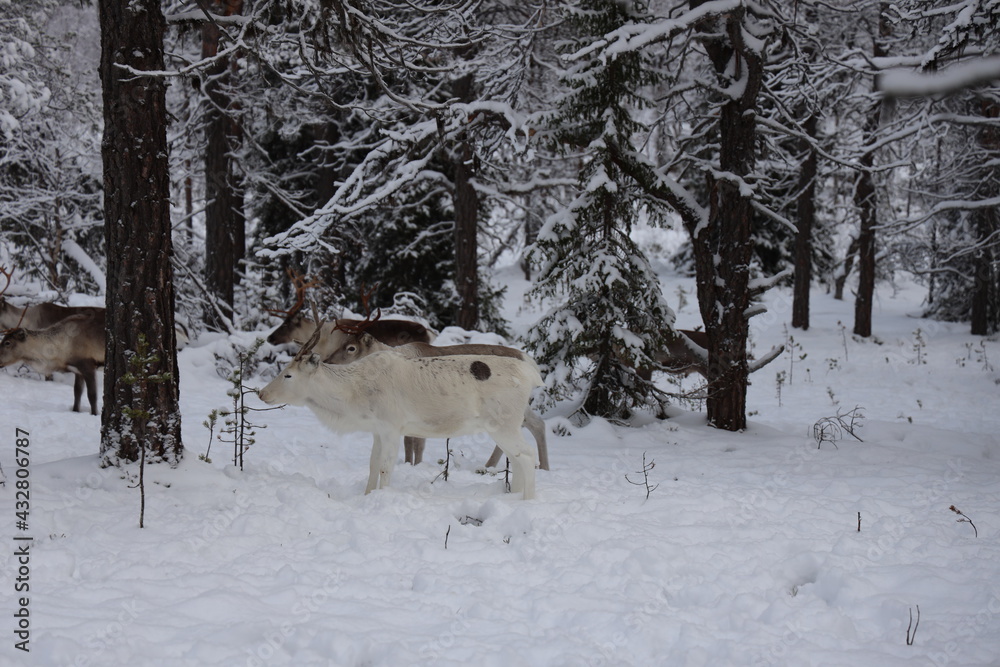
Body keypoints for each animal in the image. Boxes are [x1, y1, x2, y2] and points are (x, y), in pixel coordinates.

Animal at [323, 330, 550, 471]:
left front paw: (413, 465)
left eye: (351, 348)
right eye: (342, 343)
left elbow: (415, 442)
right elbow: (411, 440)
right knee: (536, 423)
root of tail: (531, 363)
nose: (327, 361)